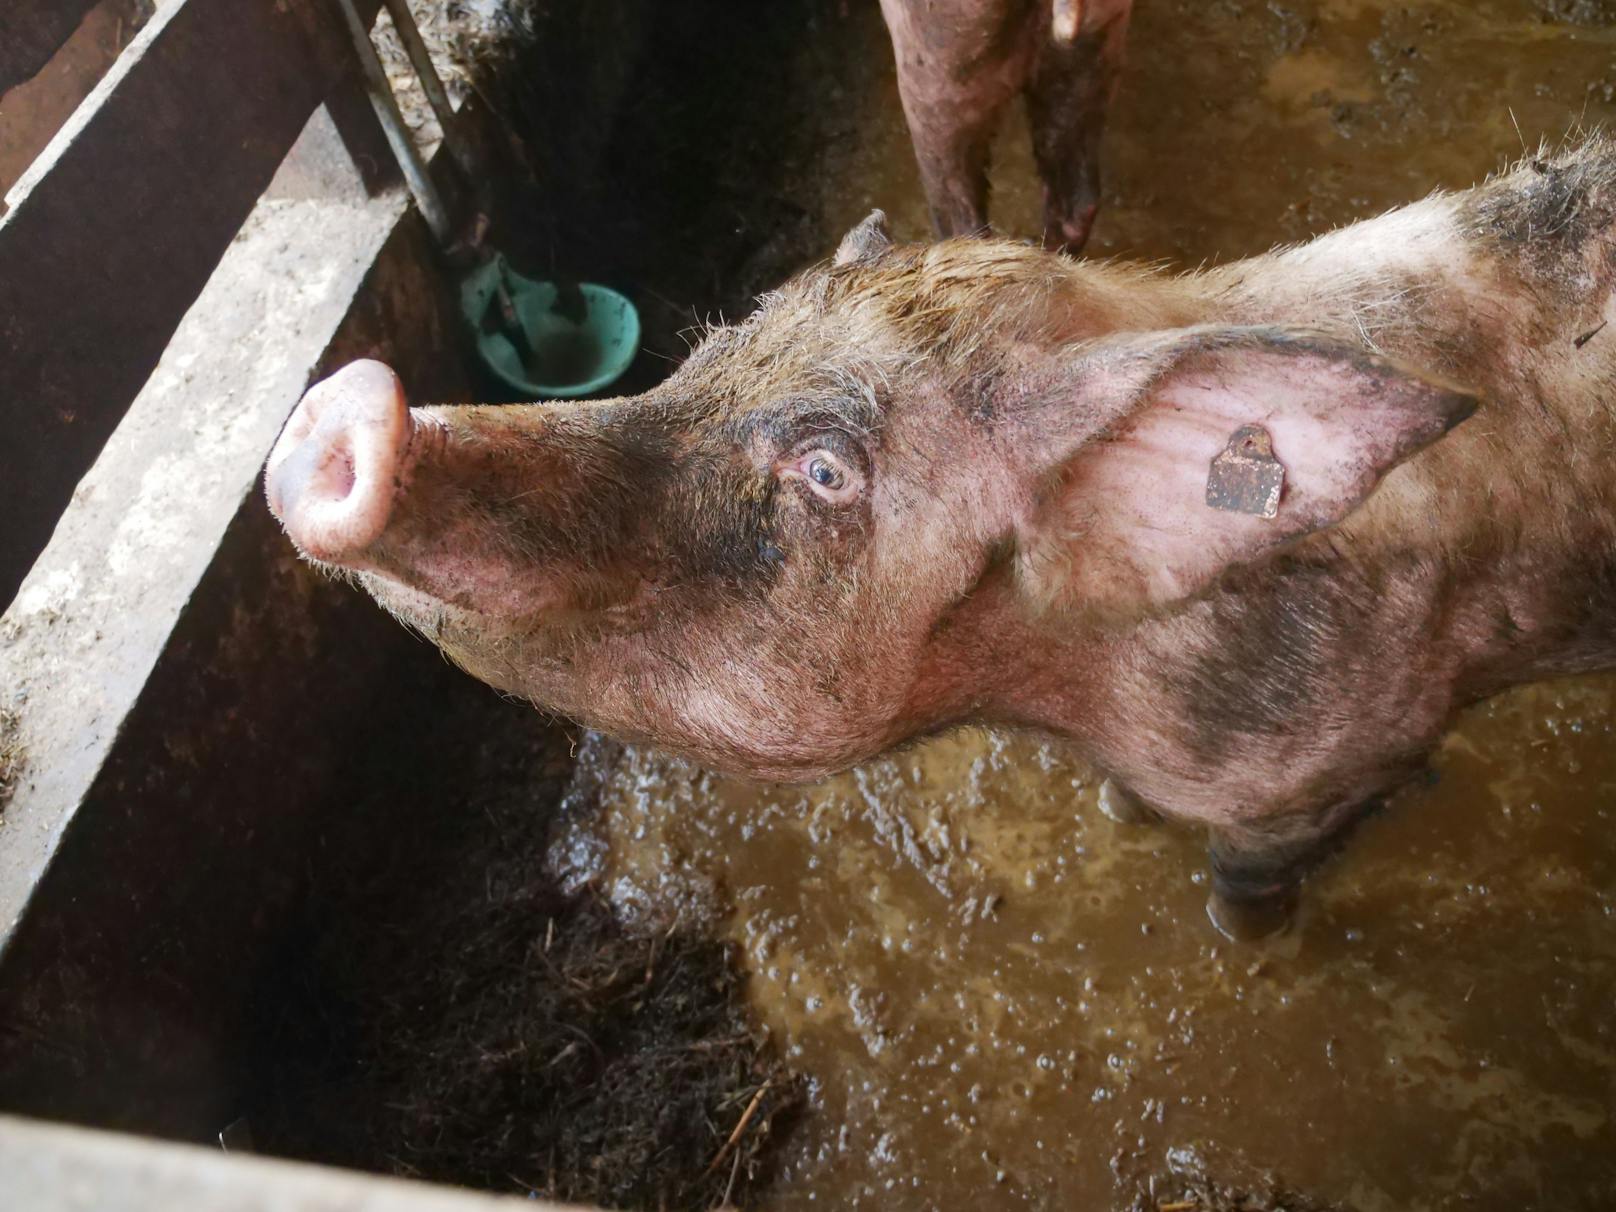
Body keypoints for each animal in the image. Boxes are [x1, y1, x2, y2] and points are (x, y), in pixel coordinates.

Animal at [268, 137, 1616, 943]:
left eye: (824, 470)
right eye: (715, 346)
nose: (348, 401)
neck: (1068, 692)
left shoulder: (1324, 758)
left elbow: (1249, 881)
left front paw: (1247, 939)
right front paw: (1126, 824)